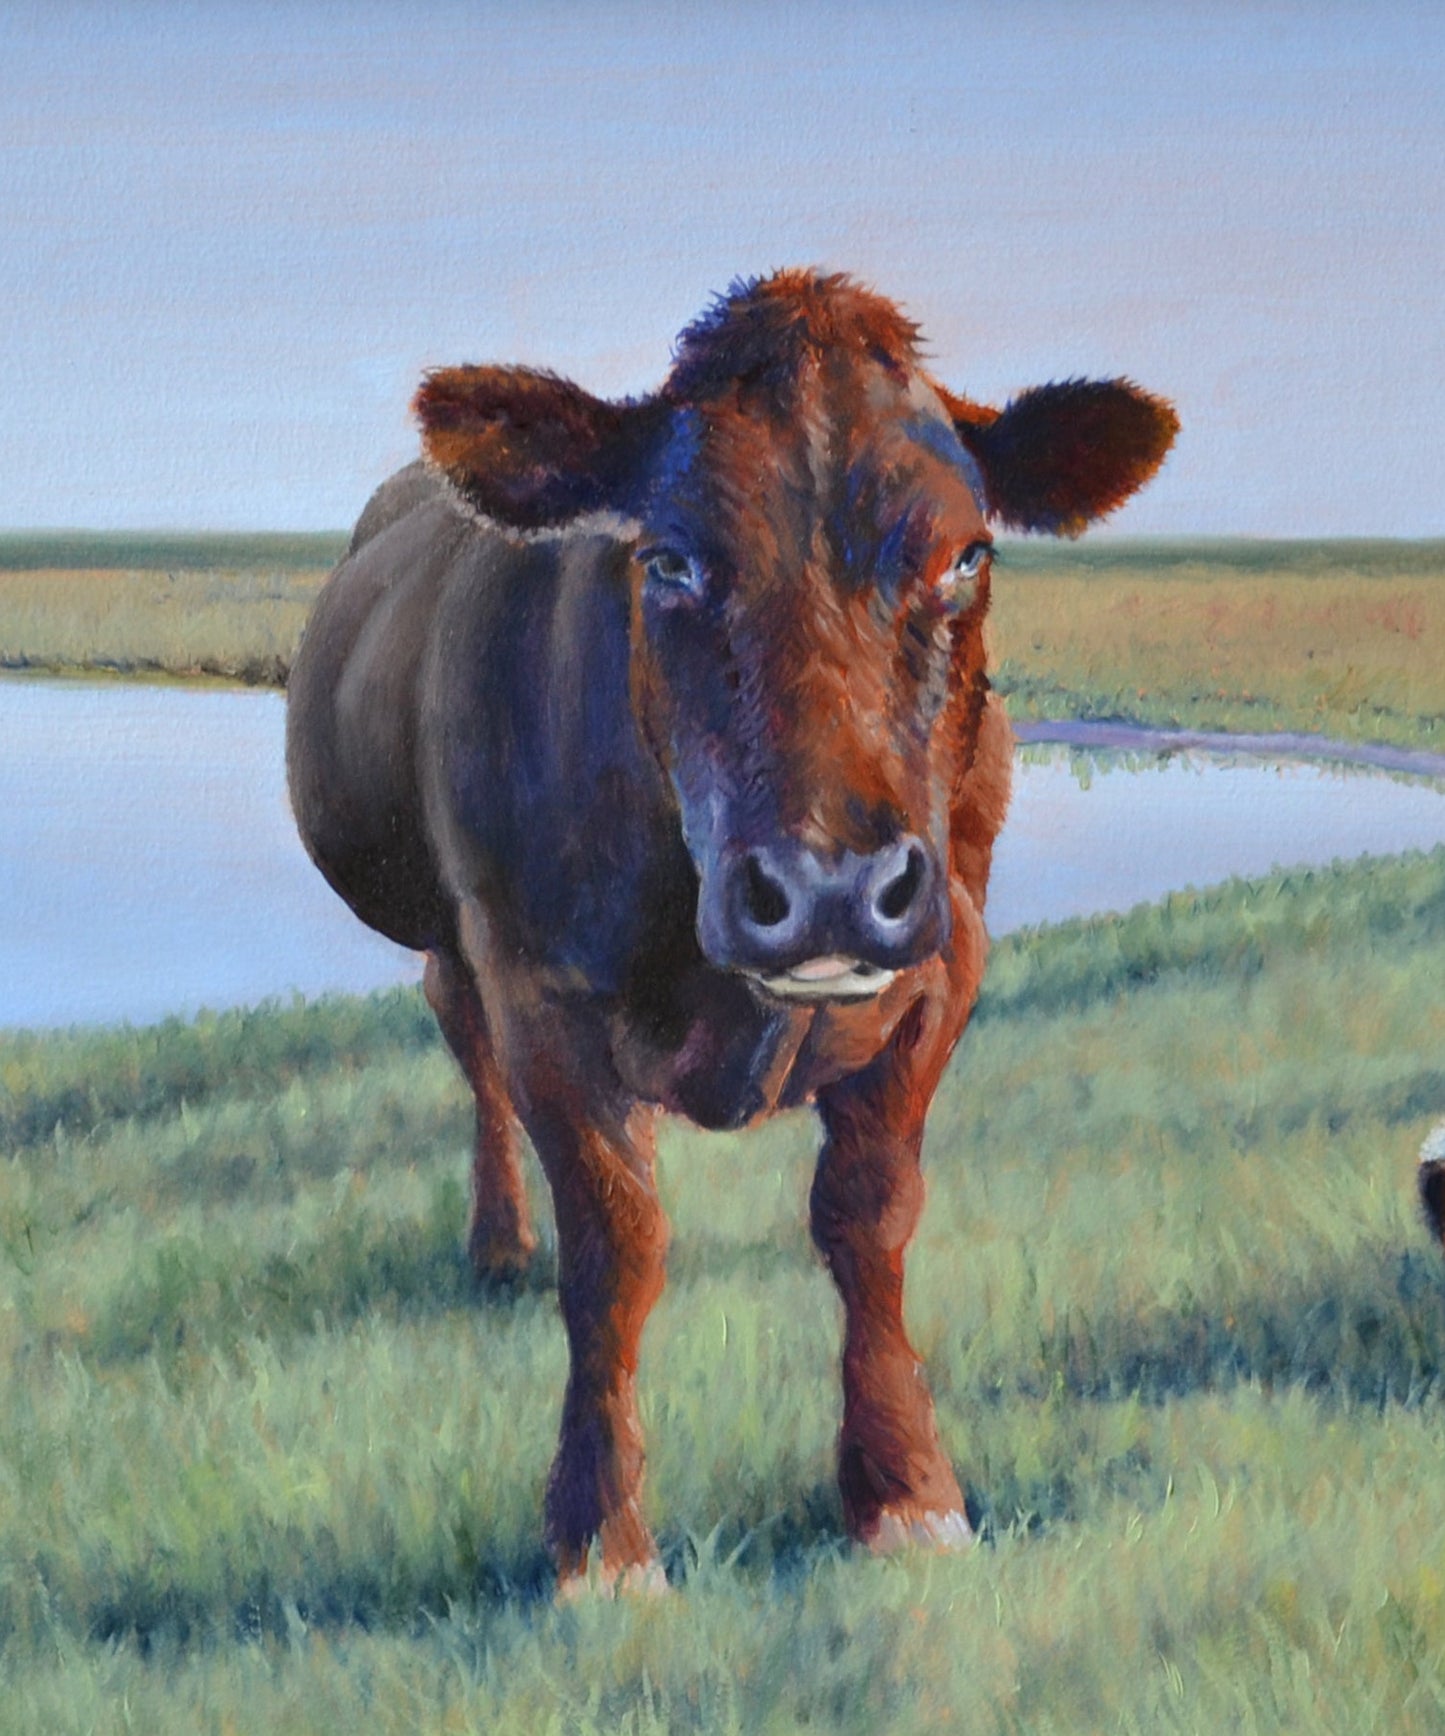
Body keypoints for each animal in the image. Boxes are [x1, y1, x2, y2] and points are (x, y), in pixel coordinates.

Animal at [286, 270, 1177, 1593]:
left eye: (966, 553)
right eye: (666, 560)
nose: (829, 887)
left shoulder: (942, 961)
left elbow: (868, 1213)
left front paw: (904, 1492)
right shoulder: (536, 983)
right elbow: (612, 1245)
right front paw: (600, 1541)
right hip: (450, 935)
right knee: (466, 1047)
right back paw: (497, 1243)